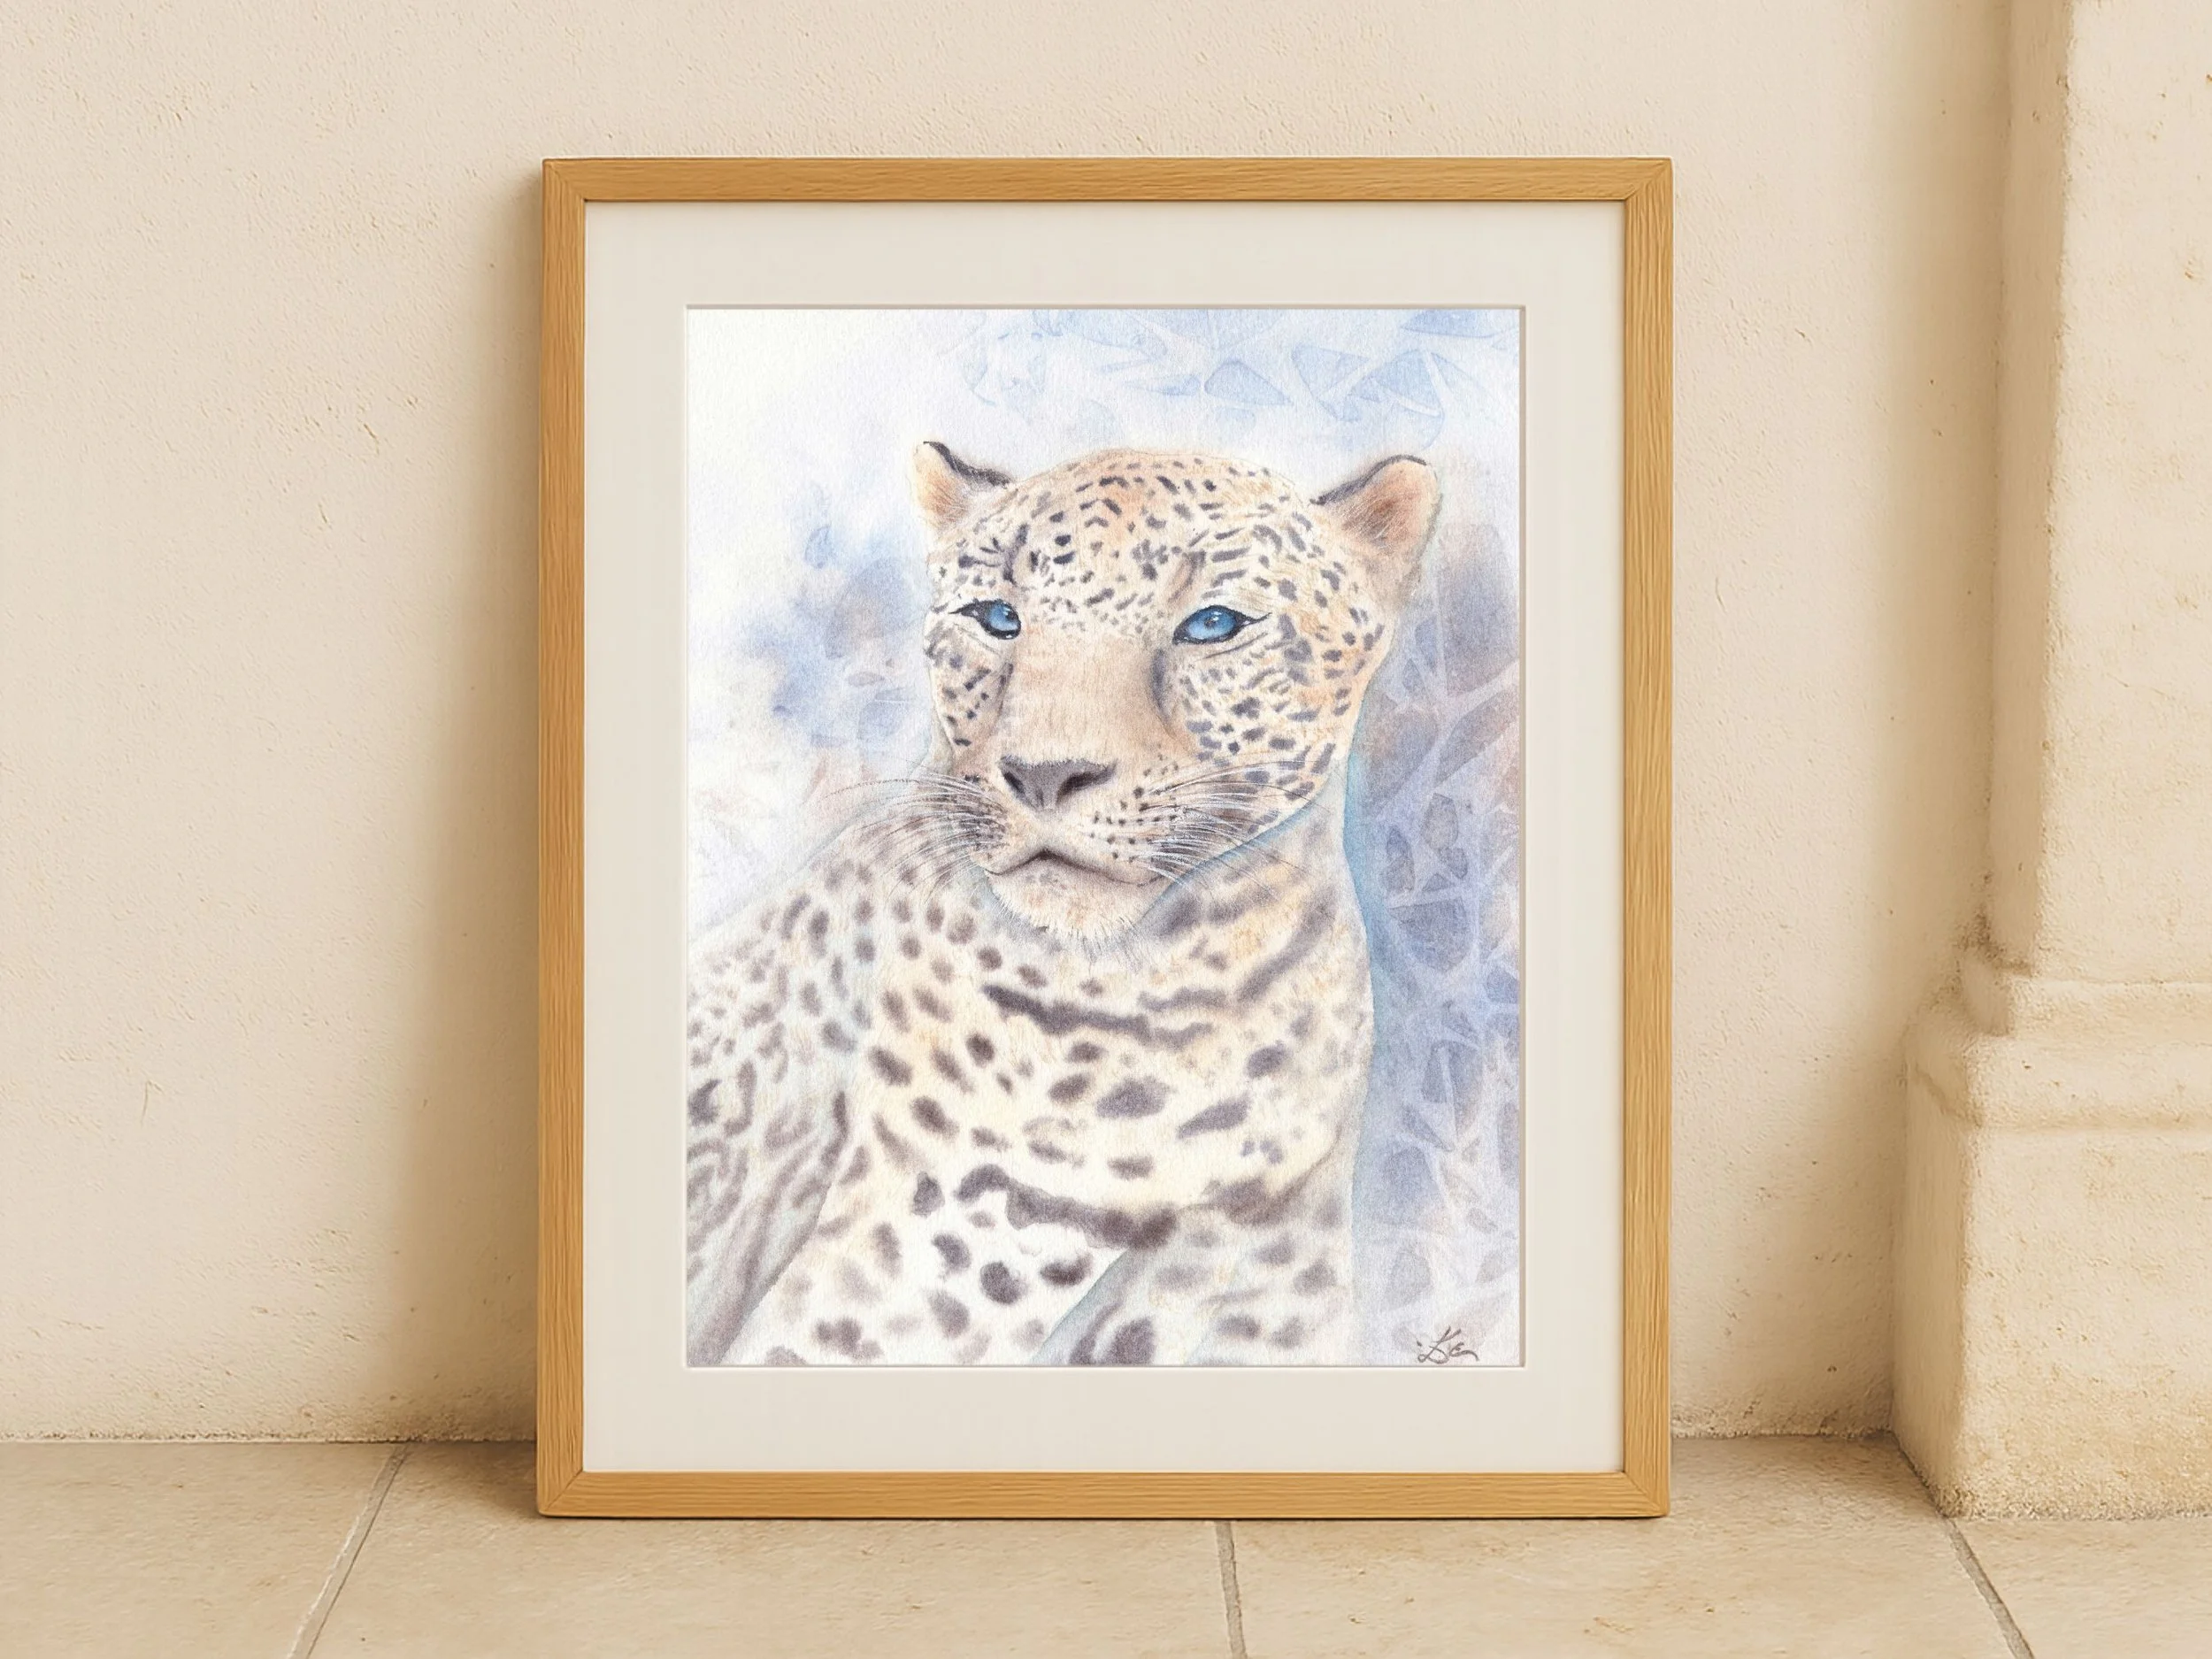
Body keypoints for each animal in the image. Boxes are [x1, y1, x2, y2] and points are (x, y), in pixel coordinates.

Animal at [685, 441, 1439, 1366]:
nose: (1045, 774)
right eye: (996, 617)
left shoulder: (1265, 1278)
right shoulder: (921, 1253)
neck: (1203, 986)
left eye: (1213, 624)